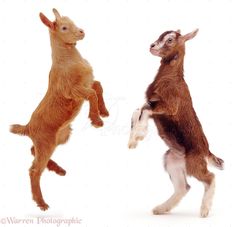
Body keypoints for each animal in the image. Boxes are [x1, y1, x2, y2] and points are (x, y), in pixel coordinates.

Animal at [10, 8, 109, 211]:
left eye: (72, 21)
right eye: (63, 27)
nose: (81, 32)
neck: (68, 60)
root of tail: (28, 127)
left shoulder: (86, 82)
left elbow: (98, 86)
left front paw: (103, 111)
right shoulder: (73, 90)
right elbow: (92, 94)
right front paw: (96, 120)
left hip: (57, 139)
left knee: (32, 151)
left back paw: (57, 169)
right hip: (46, 142)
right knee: (34, 170)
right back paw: (41, 202)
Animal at [129, 29, 223, 217]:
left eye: (170, 40)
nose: (152, 46)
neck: (171, 77)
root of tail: (206, 152)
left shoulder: (168, 107)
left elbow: (143, 111)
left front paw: (139, 135)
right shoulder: (152, 105)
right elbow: (137, 111)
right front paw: (133, 140)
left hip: (194, 163)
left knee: (210, 177)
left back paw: (204, 210)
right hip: (172, 162)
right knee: (183, 187)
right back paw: (160, 209)